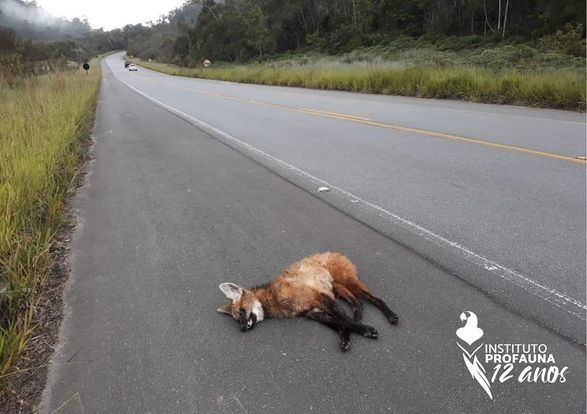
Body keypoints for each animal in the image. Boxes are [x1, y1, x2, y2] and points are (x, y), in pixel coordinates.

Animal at [217, 251, 400, 350]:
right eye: (237, 319)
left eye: (241, 311)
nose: (242, 328)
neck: (275, 298)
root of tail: (337, 253)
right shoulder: (312, 311)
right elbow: (340, 323)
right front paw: (346, 338)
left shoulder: (319, 297)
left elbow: (343, 319)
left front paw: (367, 330)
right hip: (336, 287)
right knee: (357, 303)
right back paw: (358, 316)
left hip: (347, 282)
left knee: (374, 299)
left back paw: (391, 316)